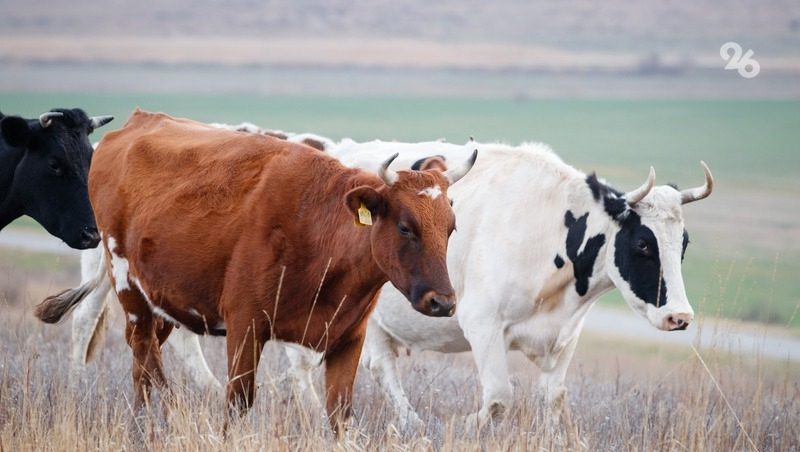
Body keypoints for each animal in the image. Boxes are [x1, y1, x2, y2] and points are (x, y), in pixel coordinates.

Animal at [36, 110, 476, 430]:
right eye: (405, 227)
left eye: (451, 227)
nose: (442, 302)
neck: (318, 229)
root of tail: (134, 124)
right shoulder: (245, 328)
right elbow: (238, 403)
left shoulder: (348, 338)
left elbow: (339, 415)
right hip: (129, 288)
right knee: (146, 357)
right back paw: (171, 415)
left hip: (163, 302)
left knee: (142, 362)